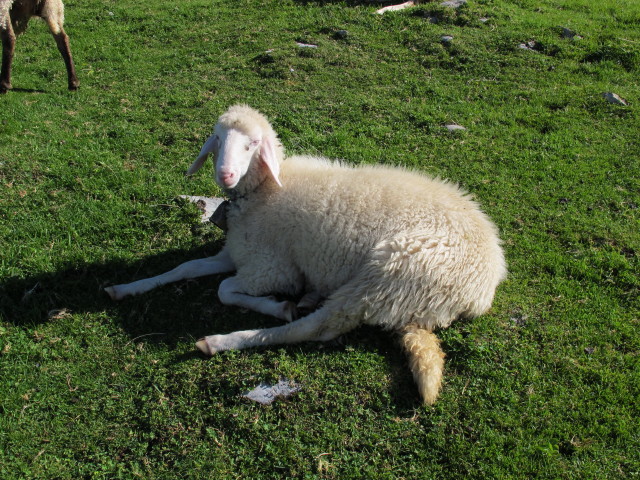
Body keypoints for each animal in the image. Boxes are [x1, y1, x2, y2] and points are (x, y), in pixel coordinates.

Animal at [105, 105, 504, 404]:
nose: (226, 175)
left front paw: (275, 305)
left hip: (388, 273)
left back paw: (224, 340)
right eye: (217, 139)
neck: (263, 193)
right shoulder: (240, 252)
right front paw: (125, 287)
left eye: (253, 144)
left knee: (317, 327)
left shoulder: (272, 268)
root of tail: (487, 284)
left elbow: (224, 290)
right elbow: (185, 267)